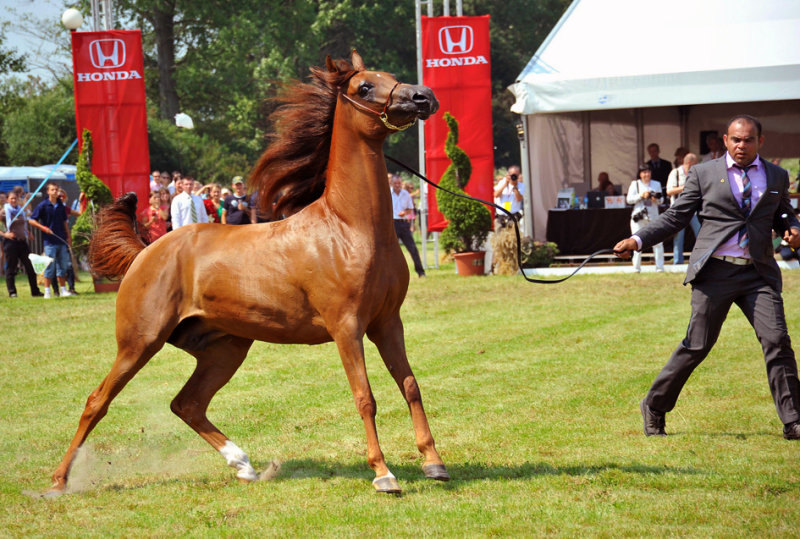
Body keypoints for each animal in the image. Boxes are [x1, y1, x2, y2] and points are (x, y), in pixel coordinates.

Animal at [48, 52, 450, 496]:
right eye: (364, 87)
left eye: (391, 76)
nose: (423, 96)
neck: (350, 228)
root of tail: (145, 252)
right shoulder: (347, 327)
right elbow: (365, 396)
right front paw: (383, 474)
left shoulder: (387, 322)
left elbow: (410, 385)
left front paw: (434, 463)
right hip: (139, 342)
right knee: (97, 401)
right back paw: (58, 481)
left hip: (226, 348)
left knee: (187, 403)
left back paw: (244, 465)